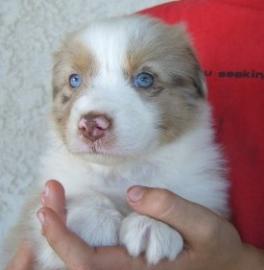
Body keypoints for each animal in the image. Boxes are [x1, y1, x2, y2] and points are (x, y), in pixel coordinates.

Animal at [2, 15, 228, 270]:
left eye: (145, 79)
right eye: (74, 80)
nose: (91, 125)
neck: (121, 169)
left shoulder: (204, 190)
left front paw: (153, 225)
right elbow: (82, 189)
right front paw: (91, 218)